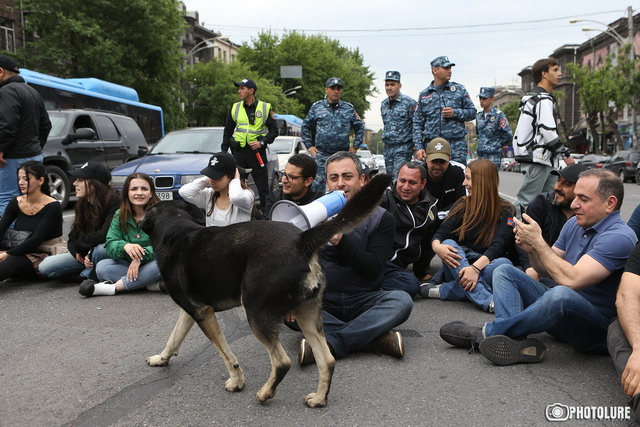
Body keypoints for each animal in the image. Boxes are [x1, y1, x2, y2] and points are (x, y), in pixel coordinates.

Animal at [142, 173, 392, 408]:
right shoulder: (192, 311)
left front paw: (237, 381)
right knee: (327, 360)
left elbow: (226, 354)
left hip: (256, 312)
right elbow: (174, 338)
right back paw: (319, 398)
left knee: (282, 362)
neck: (175, 231)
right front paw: (161, 359)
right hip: (306, 314)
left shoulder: (202, 312)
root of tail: (301, 241)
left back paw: (265, 393)